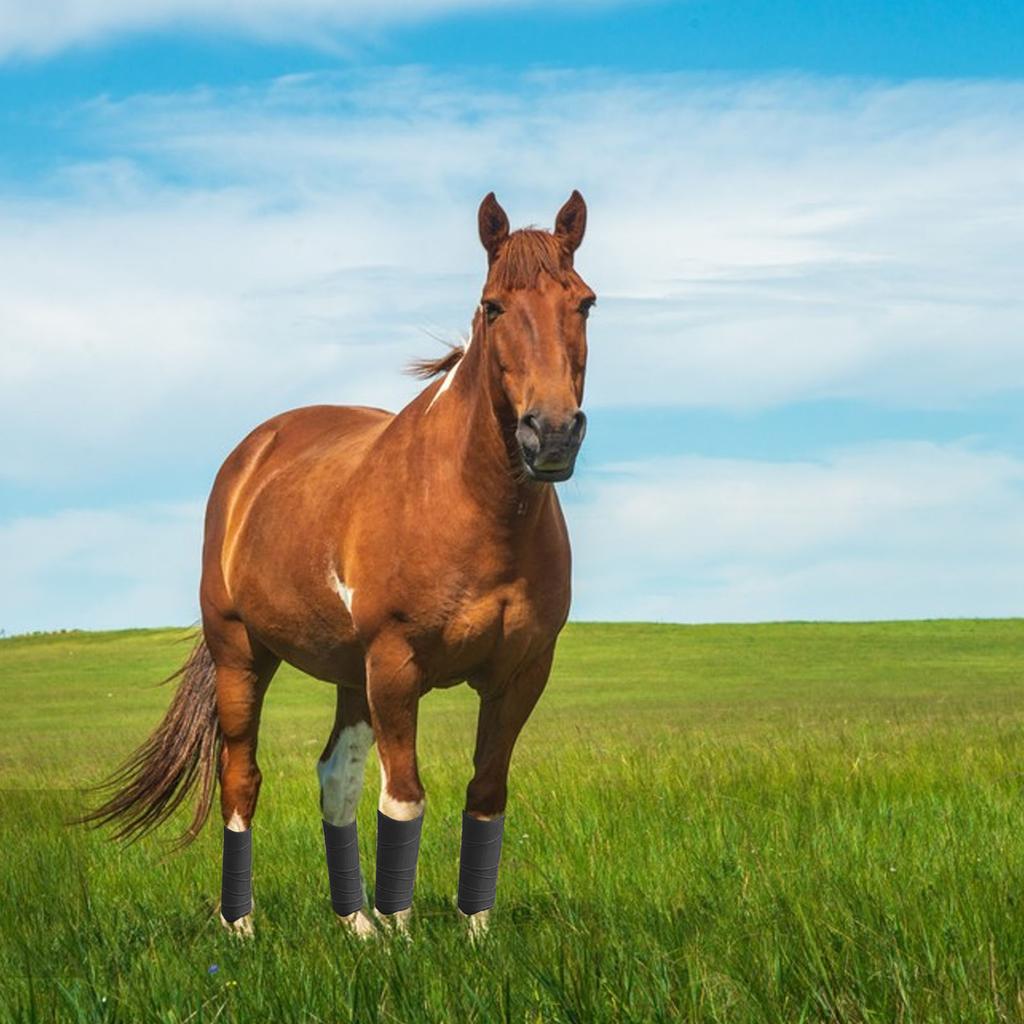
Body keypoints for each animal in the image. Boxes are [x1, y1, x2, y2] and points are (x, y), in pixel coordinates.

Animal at [80, 190, 594, 940]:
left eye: (584, 303)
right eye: (493, 305)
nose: (551, 435)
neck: (470, 503)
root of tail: (253, 451)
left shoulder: (522, 672)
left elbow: (485, 795)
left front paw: (470, 933)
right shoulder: (397, 663)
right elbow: (404, 798)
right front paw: (405, 936)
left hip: (353, 675)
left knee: (335, 780)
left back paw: (357, 926)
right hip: (244, 654)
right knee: (243, 779)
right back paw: (243, 927)